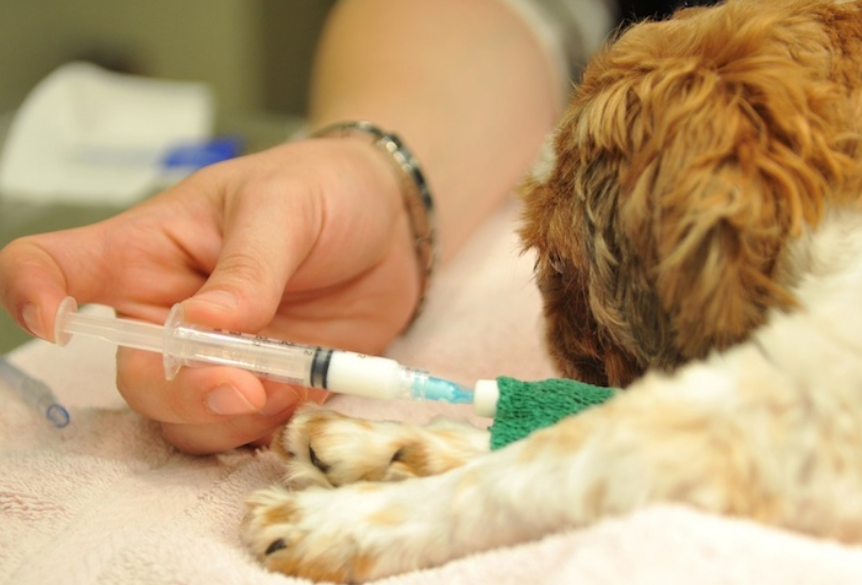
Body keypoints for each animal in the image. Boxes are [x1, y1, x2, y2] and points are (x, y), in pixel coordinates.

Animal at [240, 1, 862, 580]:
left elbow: (548, 460)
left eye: (558, 262)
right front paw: (382, 442)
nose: (552, 351)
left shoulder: (792, 433)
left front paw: (341, 519)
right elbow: (559, 420)